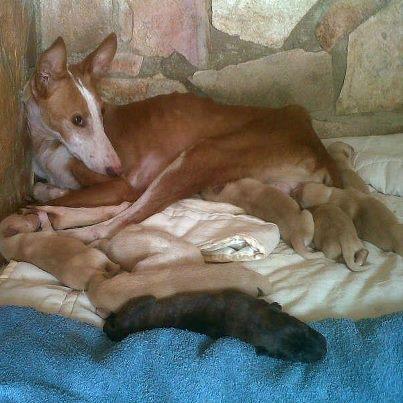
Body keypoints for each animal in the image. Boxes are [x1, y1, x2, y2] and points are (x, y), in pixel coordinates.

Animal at [23, 32, 342, 246]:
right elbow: (51, 188)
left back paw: (66, 228)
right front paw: (52, 190)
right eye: (78, 120)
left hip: (200, 155)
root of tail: (314, 140)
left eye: (101, 113)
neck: (48, 145)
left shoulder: (117, 185)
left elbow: (79, 197)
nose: (116, 167)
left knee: (122, 219)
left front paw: (53, 200)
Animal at [104, 288, 328, 364]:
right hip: (144, 299)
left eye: (305, 329)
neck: (254, 320)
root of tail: (121, 331)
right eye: (293, 356)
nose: (324, 351)